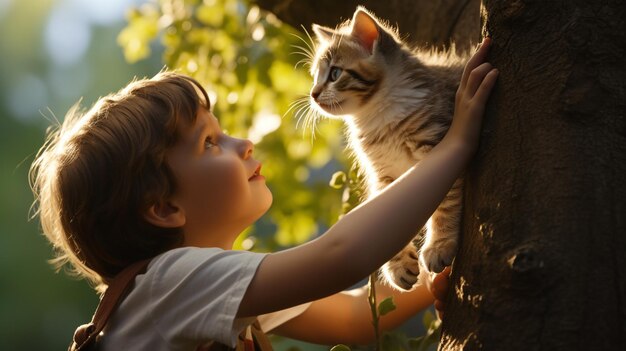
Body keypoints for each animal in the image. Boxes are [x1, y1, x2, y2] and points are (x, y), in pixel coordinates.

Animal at [308, 7, 468, 292]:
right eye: (315, 76)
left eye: (335, 74)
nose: (313, 94)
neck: (379, 118)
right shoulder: (383, 174)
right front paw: (398, 265)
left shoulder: (438, 143)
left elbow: (446, 204)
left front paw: (440, 244)